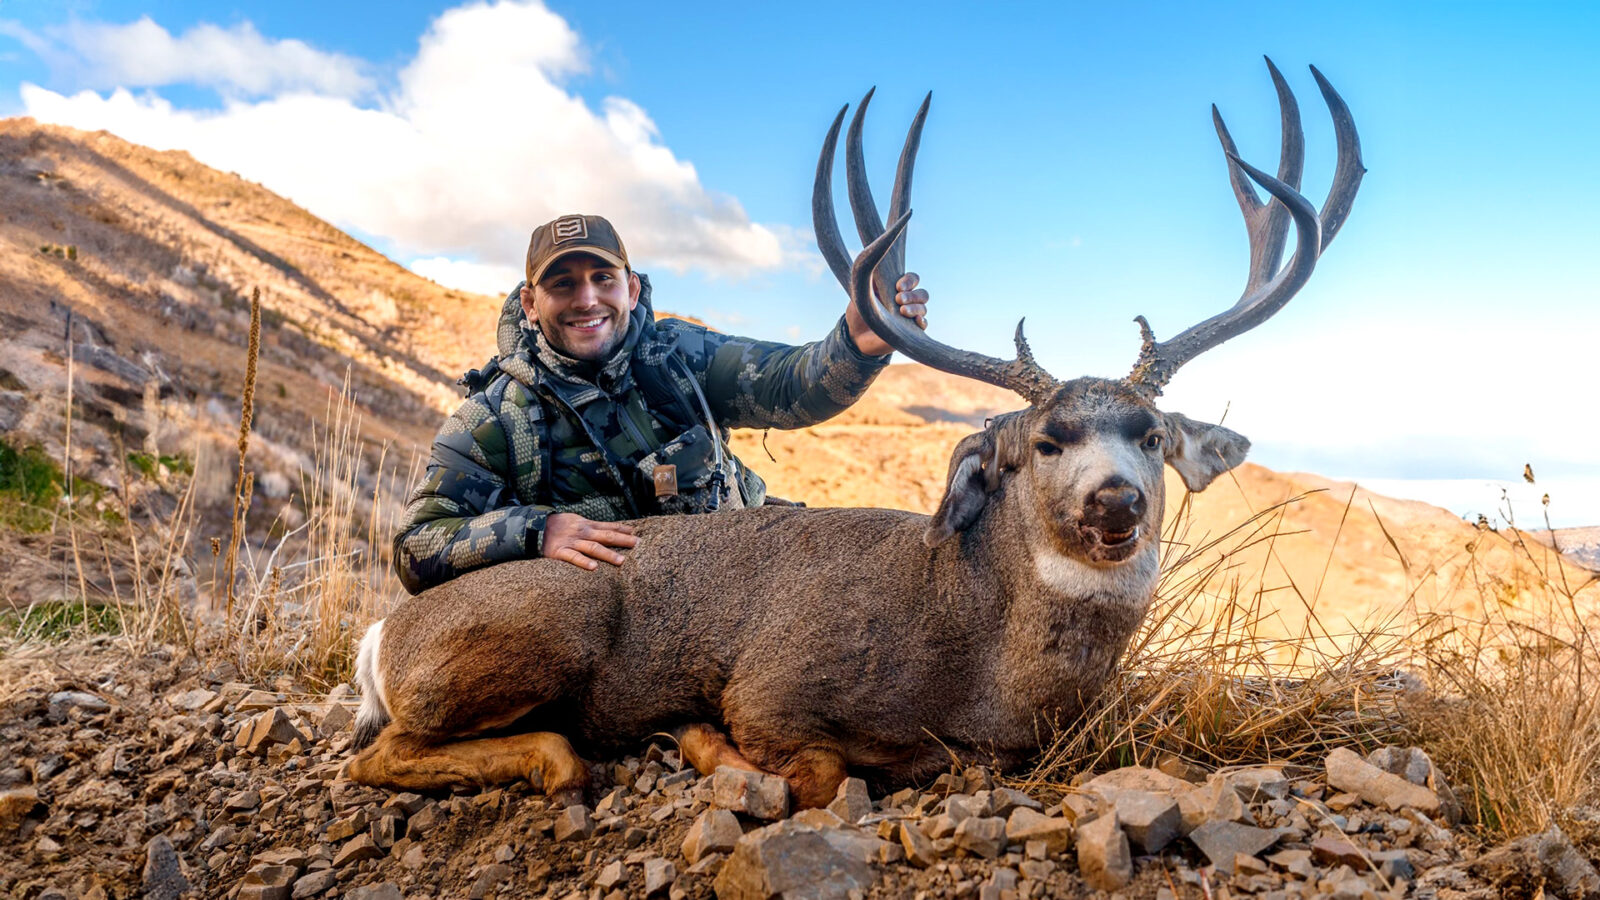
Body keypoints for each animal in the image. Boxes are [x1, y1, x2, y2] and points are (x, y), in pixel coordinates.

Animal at [347, 59, 1363, 810]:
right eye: (1045, 441)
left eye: (1152, 436)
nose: (1115, 502)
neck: (972, 654)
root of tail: (378, 639)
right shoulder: (772, 686)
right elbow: (821, 773)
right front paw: (699, 736)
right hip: (556, 619)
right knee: (385, 752)